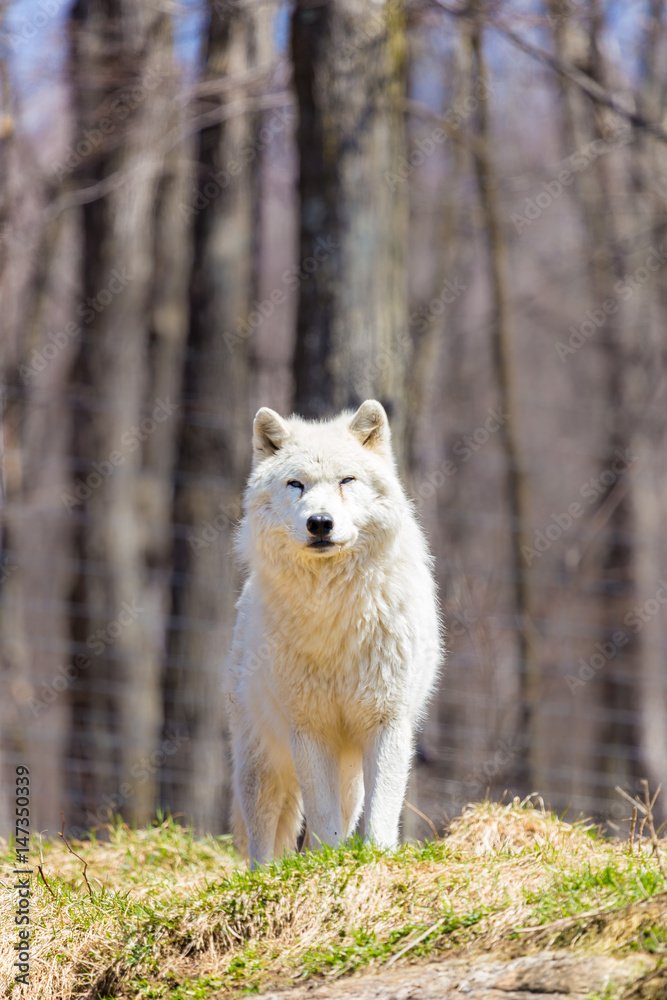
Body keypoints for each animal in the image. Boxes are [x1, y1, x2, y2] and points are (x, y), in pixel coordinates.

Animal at [224, 400, 442, 866]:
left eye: (346, 480)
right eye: (296, 484)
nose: (320, 523)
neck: (334, 613)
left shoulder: (387, 721)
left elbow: (381, 809)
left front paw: (372, 857)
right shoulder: (309, 729)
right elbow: (322, 815)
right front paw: (327, 860)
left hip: (349, 766)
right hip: (261, 760)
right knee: (261, 832)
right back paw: (265, 873)